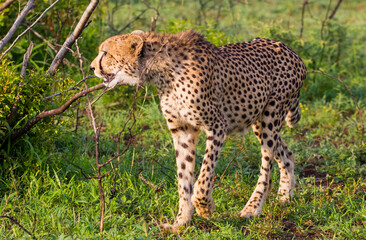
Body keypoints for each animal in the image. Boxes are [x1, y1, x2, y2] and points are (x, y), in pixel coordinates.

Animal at [91, 30, 306, 231]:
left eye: (105, 52)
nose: (92, 67)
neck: (161, 70)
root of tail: (290, 50)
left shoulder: (217, 125)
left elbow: (203, 176)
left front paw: (205, 207)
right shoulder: (182, 130)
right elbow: (184, 178)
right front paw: (181, 222)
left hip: (270, 117)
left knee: (266, 168)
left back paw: (252, 208)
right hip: (258, 121)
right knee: (286, 154)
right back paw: (284, 197)